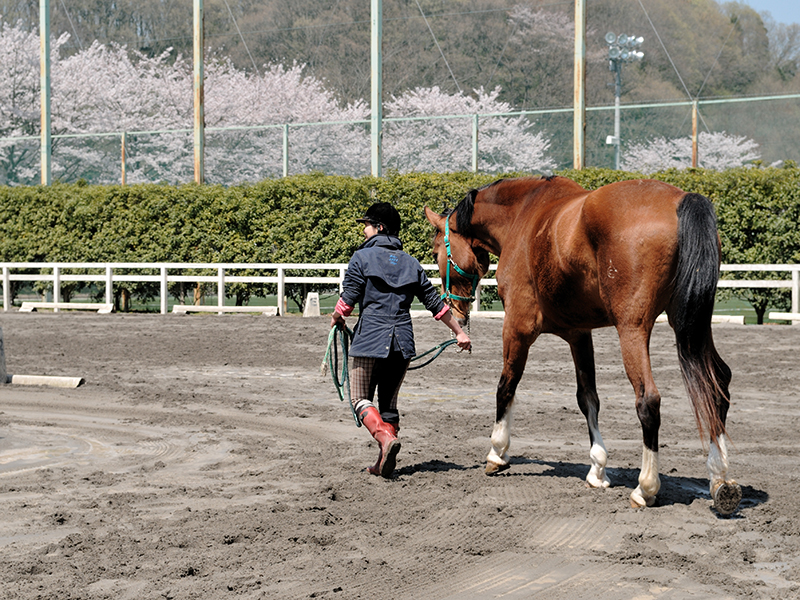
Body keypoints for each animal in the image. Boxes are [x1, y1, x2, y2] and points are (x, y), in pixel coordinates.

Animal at [424, 175, 744, 516]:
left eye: (436, 250)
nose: (454, 308)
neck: (522, 215)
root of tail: (680, 199)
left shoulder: (517, 327)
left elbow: (506, 386)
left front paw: (497, 453)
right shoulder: (579, 334)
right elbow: (587, 397)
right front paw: (597, 469)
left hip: (632, 330)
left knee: (649, 400)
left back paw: (646, 488)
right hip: (693, 325)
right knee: (717, 384)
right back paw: (721, 479)